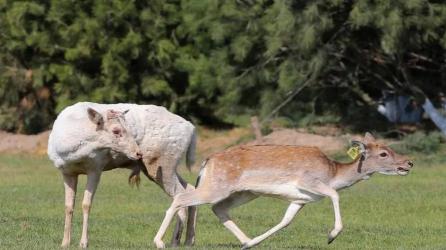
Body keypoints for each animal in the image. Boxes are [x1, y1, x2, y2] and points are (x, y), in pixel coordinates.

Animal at [46, 102, 197, 249]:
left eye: (128, 129)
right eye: (116, 130)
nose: (138, 153)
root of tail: (191, 128)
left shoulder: (96, 167)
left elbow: (86, 204)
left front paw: (84, 243)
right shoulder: (66, 171)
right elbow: (68, 206)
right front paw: (65, 243)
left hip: (162, 162)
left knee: (180, 193)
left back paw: (170, 242)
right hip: (166, 167)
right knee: (190, 189)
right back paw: (189, 241)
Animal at [152, 133, 412, 248]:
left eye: (389, 149)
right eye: (384, 154)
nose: (409, 163)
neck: (333, 173)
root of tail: (207, 162)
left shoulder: (300, 199)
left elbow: (286, 221)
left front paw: (255, 242)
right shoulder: (309, 181)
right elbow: (335, 194)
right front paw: (332, 235)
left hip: (243, 192)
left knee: (217, 208)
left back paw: (245, 240)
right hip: (218, 186)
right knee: (182, 196)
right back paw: (160, 242)